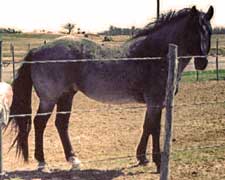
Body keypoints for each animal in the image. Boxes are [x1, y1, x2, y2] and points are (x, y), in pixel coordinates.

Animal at [7, 5, 214, 172]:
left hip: (67, 95)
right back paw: (42, 163)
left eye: (209, 31)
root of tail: (36, 51)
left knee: (61, 124)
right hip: (49, 99)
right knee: (40, 124)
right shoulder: (155, 102)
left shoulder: (157, 104)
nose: (202, 63)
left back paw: (74, 160)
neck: (154, 54)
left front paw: (142, 158)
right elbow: (154, 128)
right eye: (193, 31)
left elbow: (147, 126)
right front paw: (157, 162)